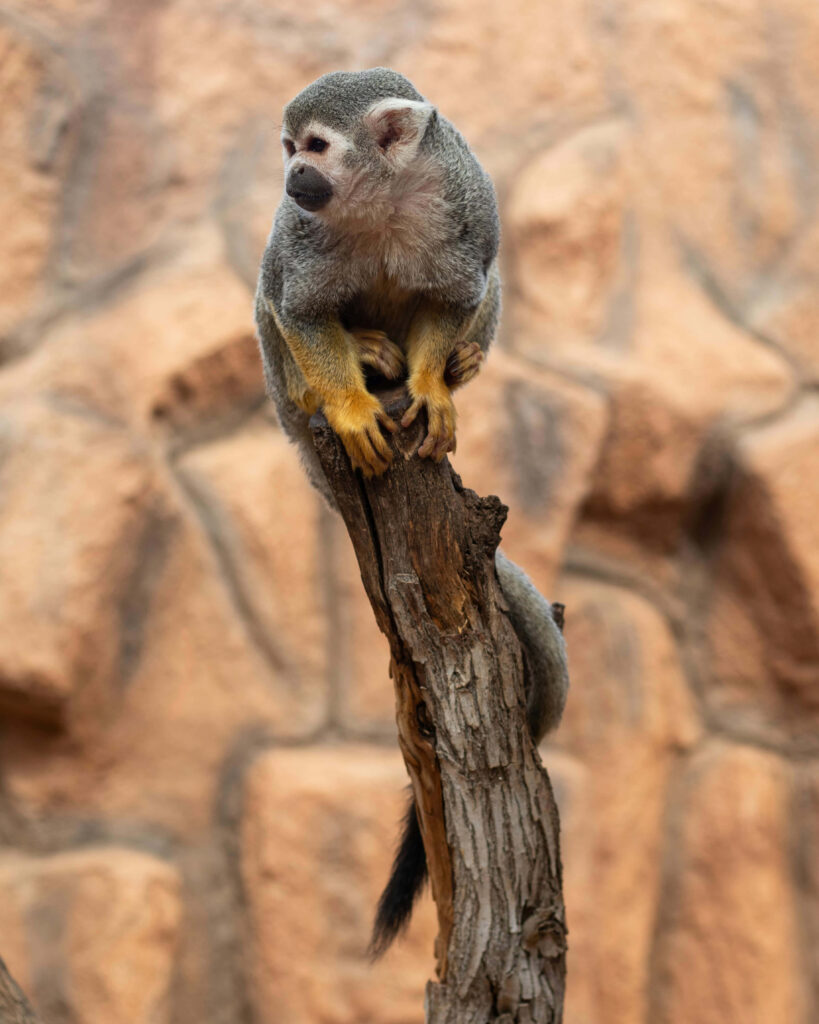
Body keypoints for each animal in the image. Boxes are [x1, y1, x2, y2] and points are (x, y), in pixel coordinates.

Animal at [254, 68, 569, 957]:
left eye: (315, 148)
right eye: (288, 150)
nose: (291, 178)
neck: (383, 197)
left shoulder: (465, 200)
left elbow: (454, 293)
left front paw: (429, 385)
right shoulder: (299, 238)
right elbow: (294, 306)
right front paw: (349, 403)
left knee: (480, 291)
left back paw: (448, 368)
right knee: (272, 304)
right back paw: (342, 382)